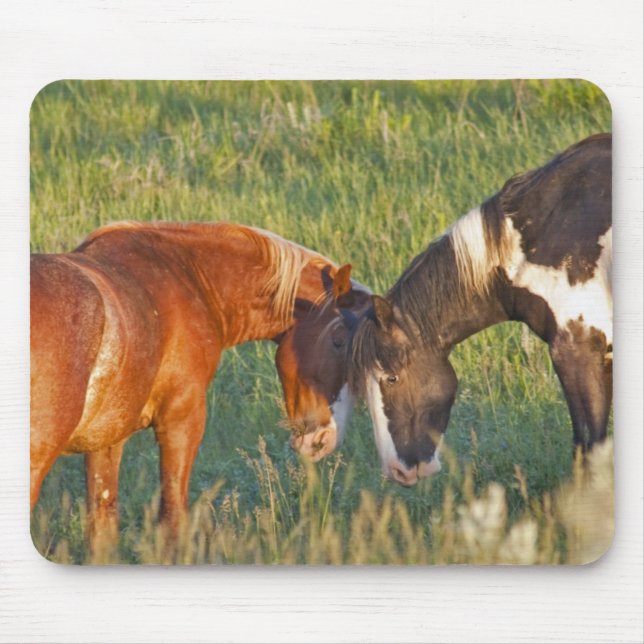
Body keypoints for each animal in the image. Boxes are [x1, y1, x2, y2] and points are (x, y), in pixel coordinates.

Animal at [31, 221, 371, 554]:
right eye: (338, 341)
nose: (323, 441)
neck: (189, 276)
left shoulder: (107, 441)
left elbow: (102, 531)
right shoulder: (181, 421)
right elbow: (172, 521)